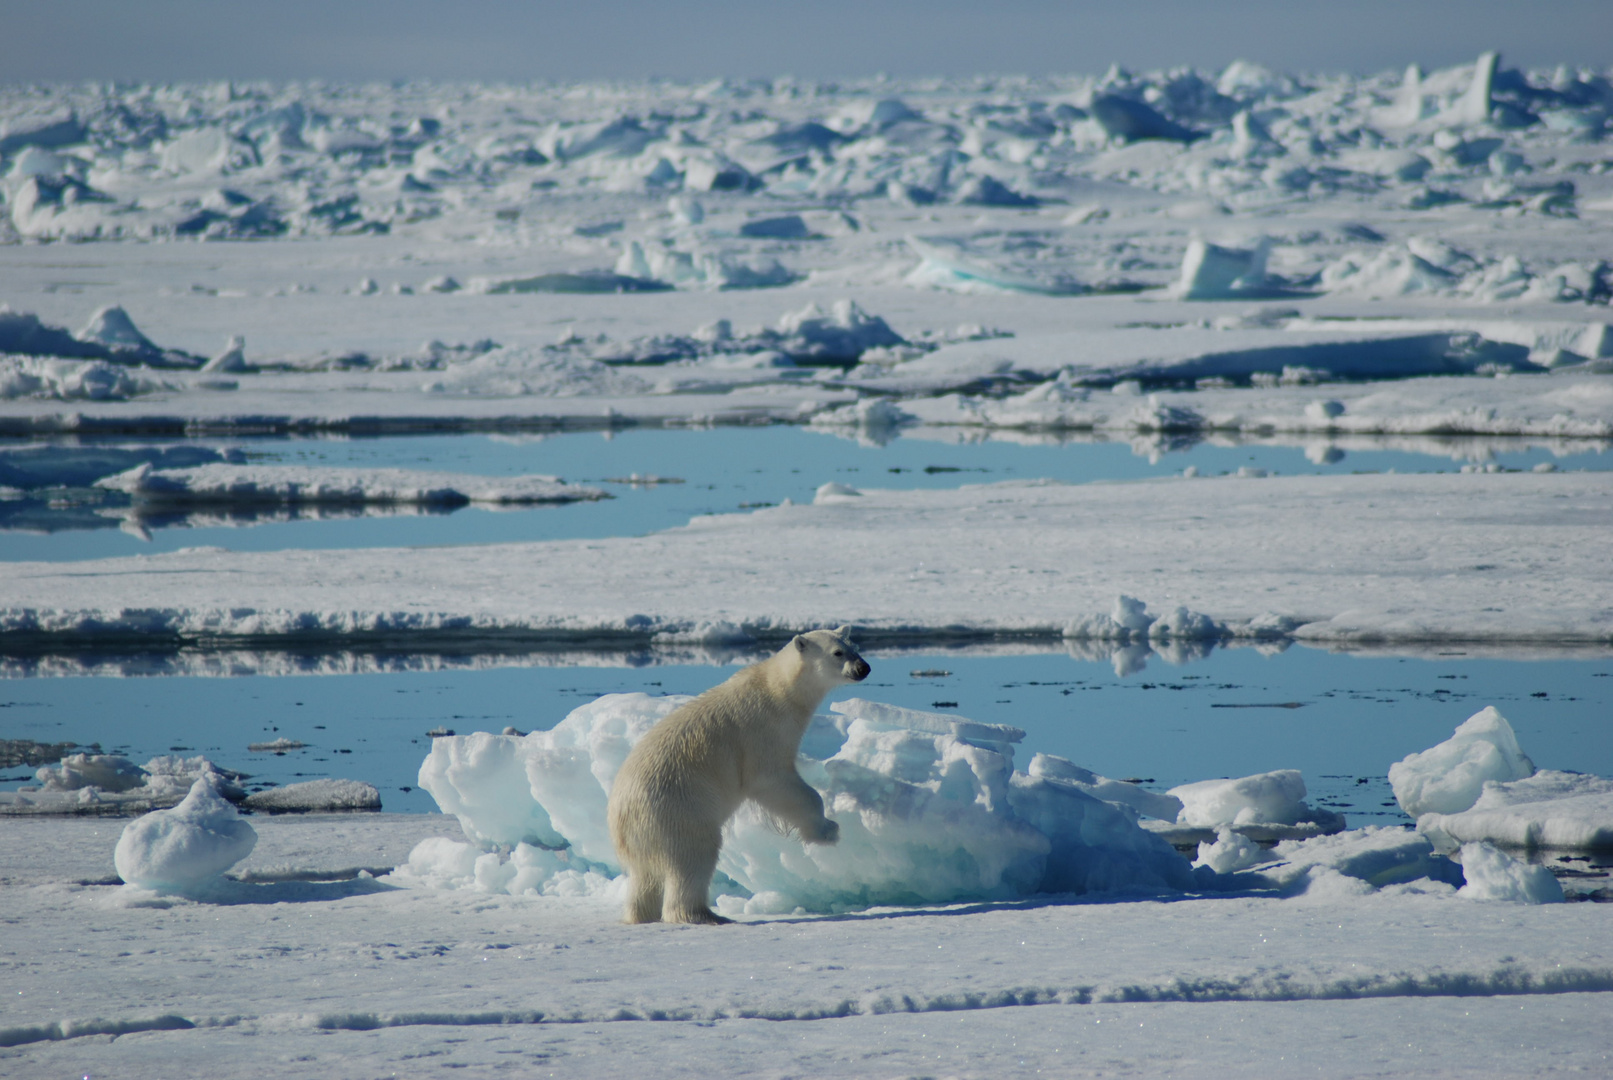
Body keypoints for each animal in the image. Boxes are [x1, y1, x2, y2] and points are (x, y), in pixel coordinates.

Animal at [606, 631, 871, 928]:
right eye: (838, 652)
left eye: (855, 647)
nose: (863, 668)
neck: (778, 690)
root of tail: (621, 814)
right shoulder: (763, 732)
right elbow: (772, 780)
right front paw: (828, 829)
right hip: (677, 811)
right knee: (694, 856)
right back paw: (704, 914)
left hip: (642, 834)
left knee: (644, 876)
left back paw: (642, 915)